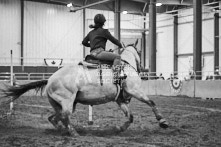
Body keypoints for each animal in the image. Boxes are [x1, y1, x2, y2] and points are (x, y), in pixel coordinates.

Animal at [0, 40, 168, 136]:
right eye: (140, 51)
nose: (144, 68)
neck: (125, 66)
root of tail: (50, 80)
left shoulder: (120, 100)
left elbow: (130, 117)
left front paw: (119, 129)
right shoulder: (135, 91)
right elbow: (151, 102)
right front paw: (162, 121)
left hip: (63, 104)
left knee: (54, 117)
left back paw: (63, 130)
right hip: (67, 102)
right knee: (64, 117)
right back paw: (74, 133)